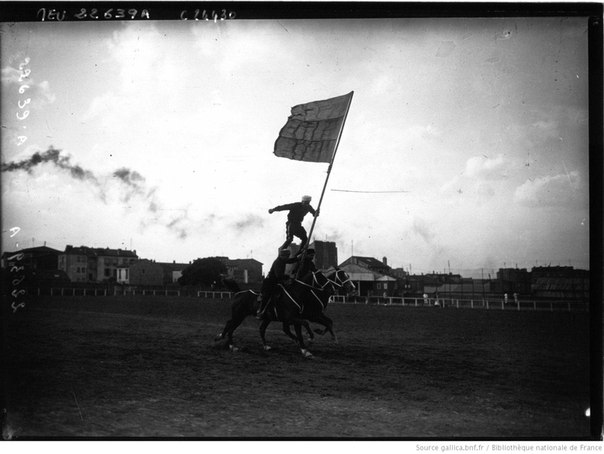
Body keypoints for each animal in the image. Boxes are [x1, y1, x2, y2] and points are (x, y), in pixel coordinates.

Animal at [215, 268, 355, 357]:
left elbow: (326, 323)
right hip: (239, 315)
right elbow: (308, 324)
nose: (353, 287)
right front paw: (310, 338)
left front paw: (307, 346)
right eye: (321, 278)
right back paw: (231, 344)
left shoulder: (303, 317)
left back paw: (264, 346)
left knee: (259, 329)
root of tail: (239, 293)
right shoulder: (305, 316)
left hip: (262, 317)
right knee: (230, 326)